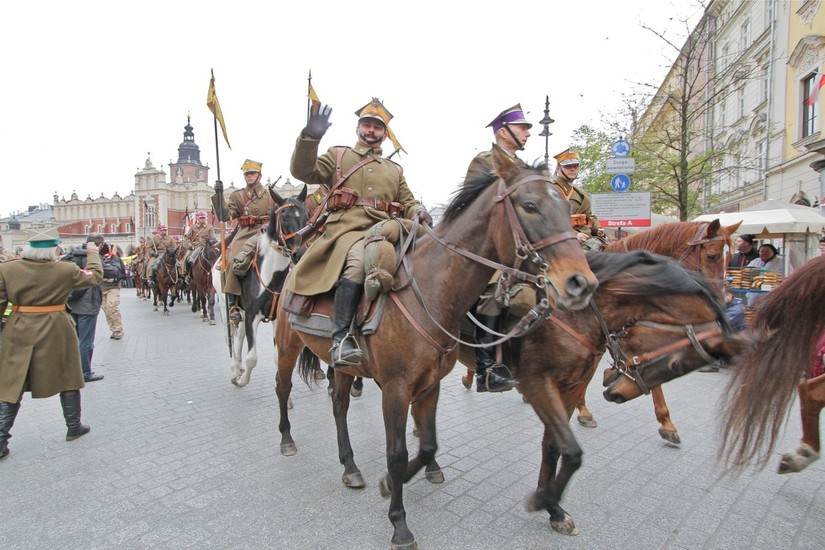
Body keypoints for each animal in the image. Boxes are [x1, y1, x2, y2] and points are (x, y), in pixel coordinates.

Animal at [225, 185, 308, 388]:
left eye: (306, 216)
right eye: (284, 218)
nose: (300, 253)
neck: (270, 275)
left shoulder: (277, 319)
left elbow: (278, 357)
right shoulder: (251, 315)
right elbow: (252, 358)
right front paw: (243, 379)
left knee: (239, 336)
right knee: (232, 334)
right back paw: (236, 370)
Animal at [274, 148, 596, 550]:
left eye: (567, 209)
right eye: (530, 205)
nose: (581, 283)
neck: (430, 289)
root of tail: (295, 263)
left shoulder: (430, 385)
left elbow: (427, 445)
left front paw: (392, 482)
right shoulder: (395, 389)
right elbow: (397, 454)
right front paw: (399, 524)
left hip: (347, 368)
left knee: (339, 405)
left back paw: (350, 466)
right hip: (287, 347)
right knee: (283, 388)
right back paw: (287, 440)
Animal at [458, 252, 748, 536]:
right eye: (675, 366)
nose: (619, 395)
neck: (577, 314)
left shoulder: (572, 385)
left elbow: (554, 446)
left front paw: (554, 509)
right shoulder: (536, 382)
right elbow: (571, 451)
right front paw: (544, 500)